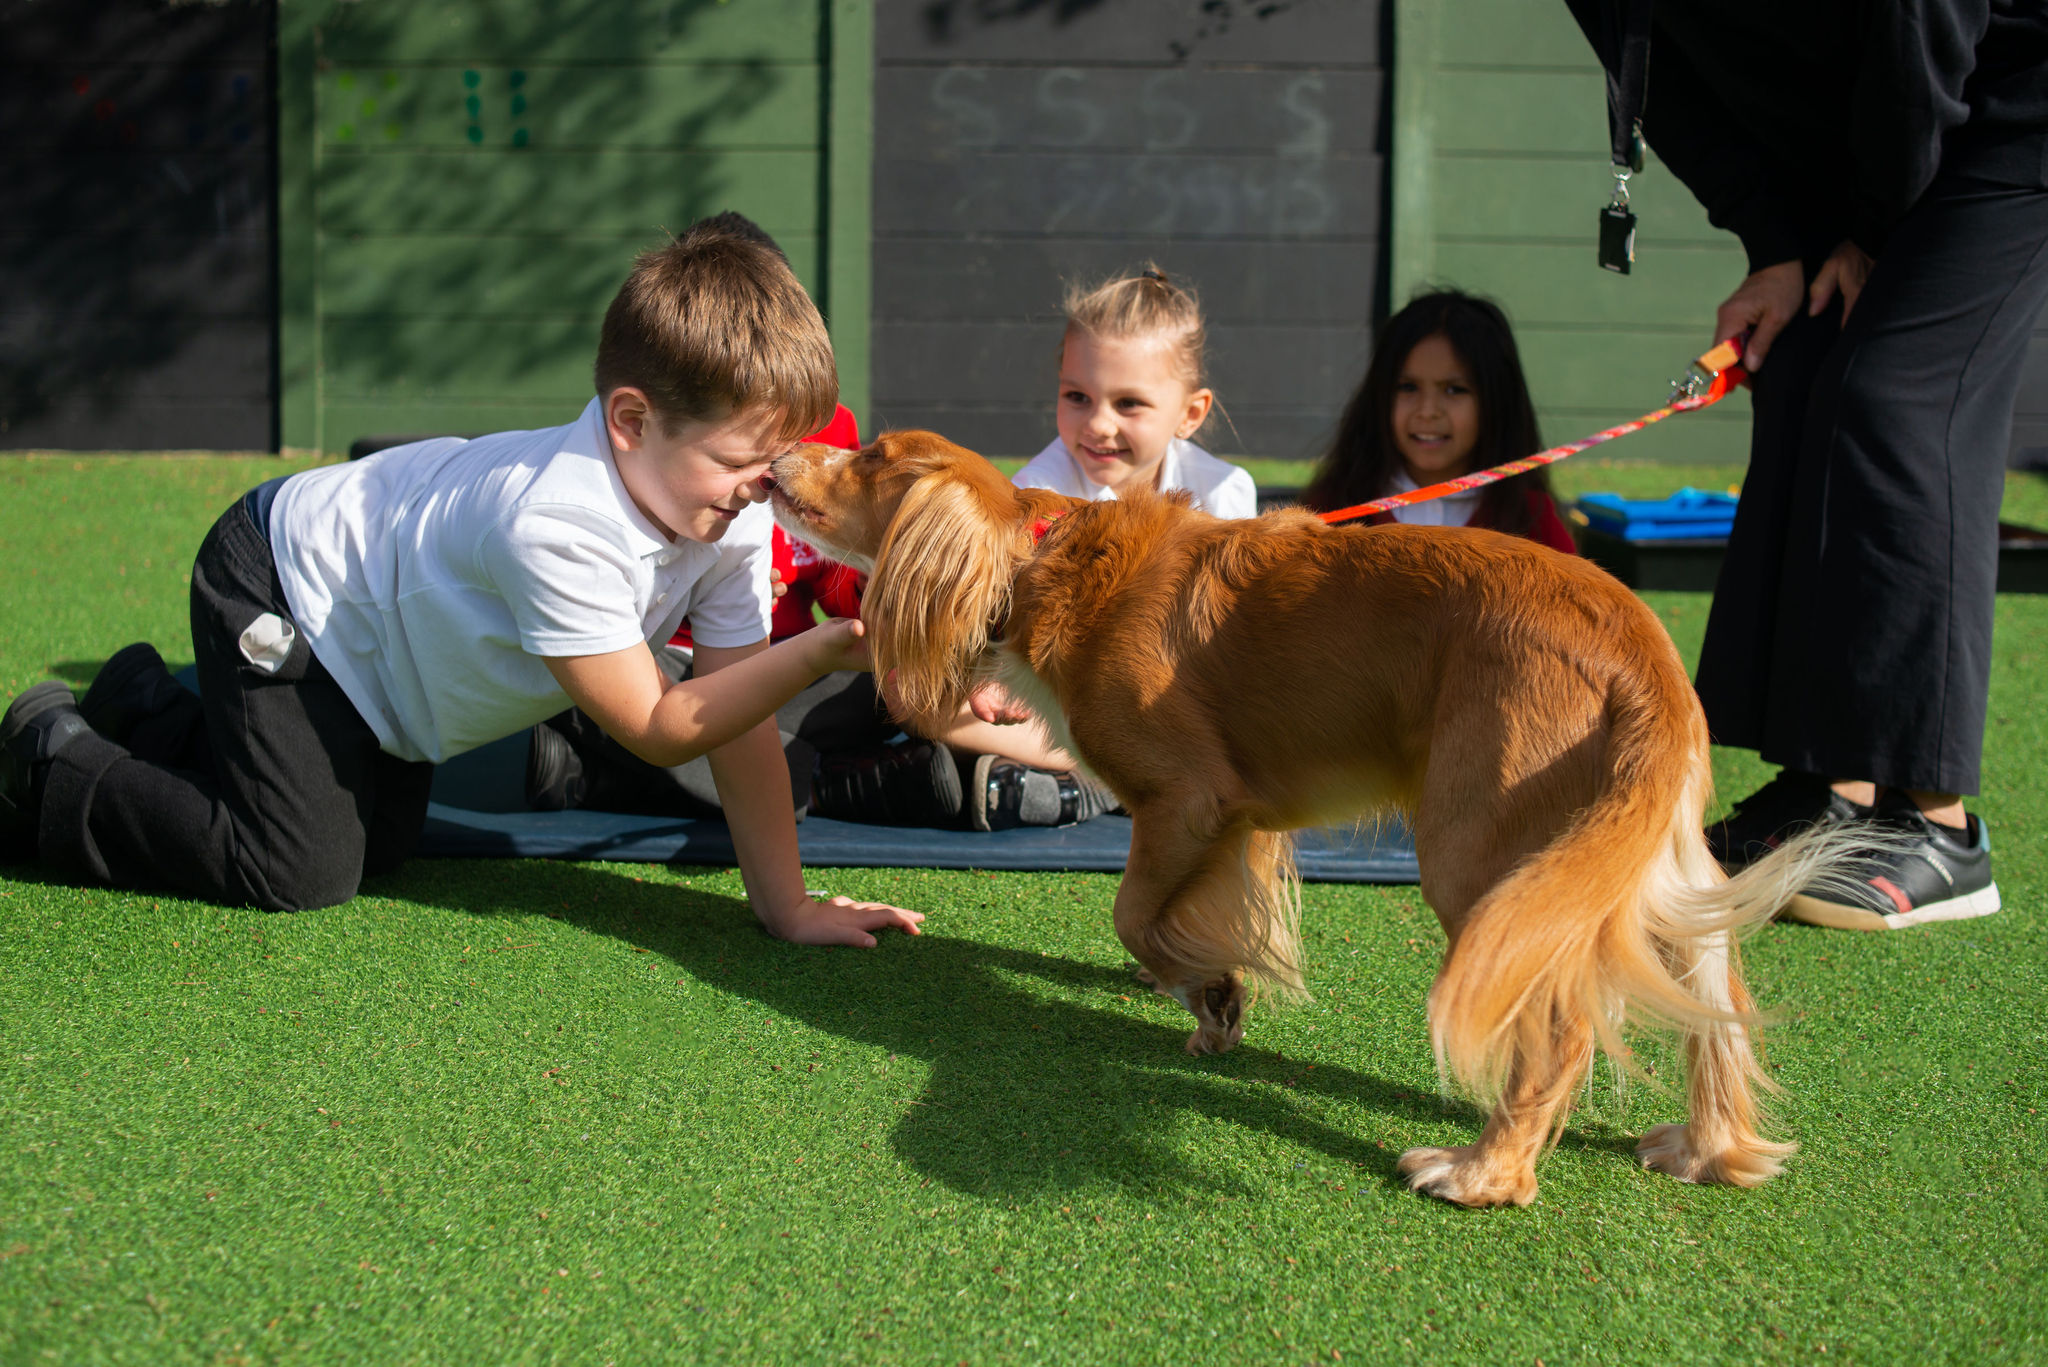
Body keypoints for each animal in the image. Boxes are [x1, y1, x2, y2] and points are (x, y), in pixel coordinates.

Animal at [766, 430, 1856, 1208]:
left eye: (871, 456)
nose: (775, 458)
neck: (1045, 555)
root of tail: (1639, 640)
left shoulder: (1185, 797)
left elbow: (1132, 913)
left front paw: (1209, 990)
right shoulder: (1234, 823)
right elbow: (1185, 915)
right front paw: (1204, 988)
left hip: (1486, 860)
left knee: (1556, 1029)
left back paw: (1484, 1173)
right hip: (1643, 865)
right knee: (1716, 990)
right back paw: (1709, 1146)